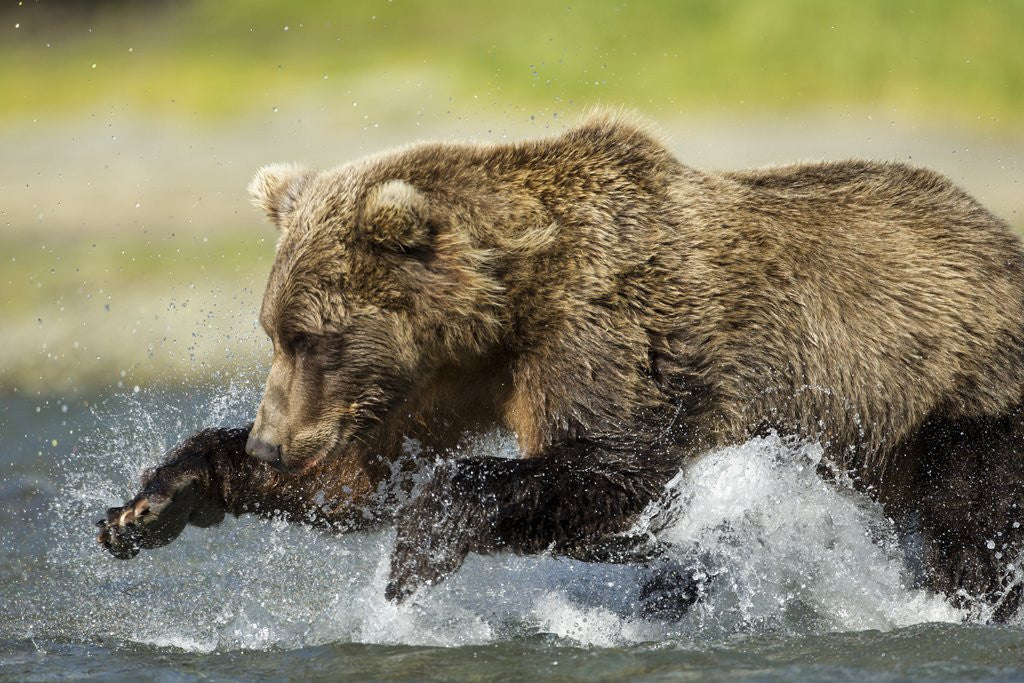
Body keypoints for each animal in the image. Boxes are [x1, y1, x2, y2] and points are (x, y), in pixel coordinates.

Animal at [97, 111, 1024, 618]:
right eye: (272, 329)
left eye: (308, 335)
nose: (271, 441)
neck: (504, 311)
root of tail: (1000, 233)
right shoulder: (448, 380)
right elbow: (361, 479)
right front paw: (151, 503)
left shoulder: (611, 334)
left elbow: (613, 466)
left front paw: (415, 556)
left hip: (955, 392)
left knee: (970, 520)